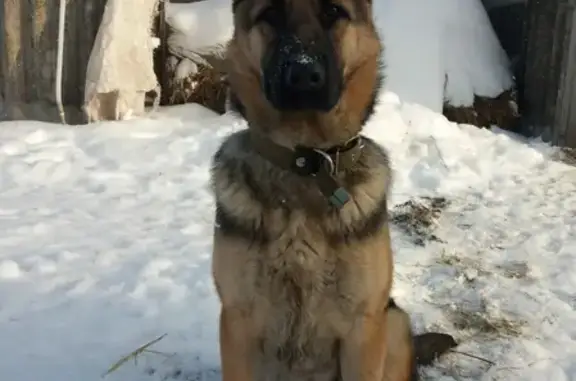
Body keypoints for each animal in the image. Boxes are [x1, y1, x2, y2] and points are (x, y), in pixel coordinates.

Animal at [210, 0, 446, 380]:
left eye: (334, 12)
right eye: (270, 14)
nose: (303, 75)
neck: (306, 164)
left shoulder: (363, 329)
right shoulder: (237, 323)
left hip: (393, 321)